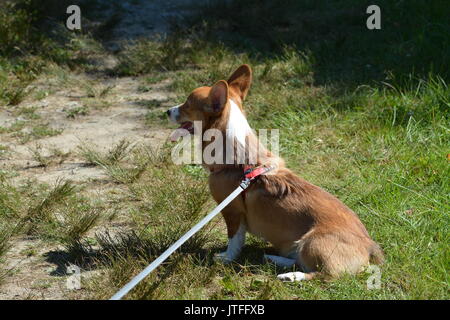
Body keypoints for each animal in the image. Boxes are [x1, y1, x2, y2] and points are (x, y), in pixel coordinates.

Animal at [165, 65, 384, 282]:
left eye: (187, 104)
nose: (167, 111)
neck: (239, 160)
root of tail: (370, 247)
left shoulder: (232, 212)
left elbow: (234, 240)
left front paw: (226, 258)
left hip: (312, 243)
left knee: (323, 274)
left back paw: (291, 275)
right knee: (298, 259)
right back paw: (274, 258)